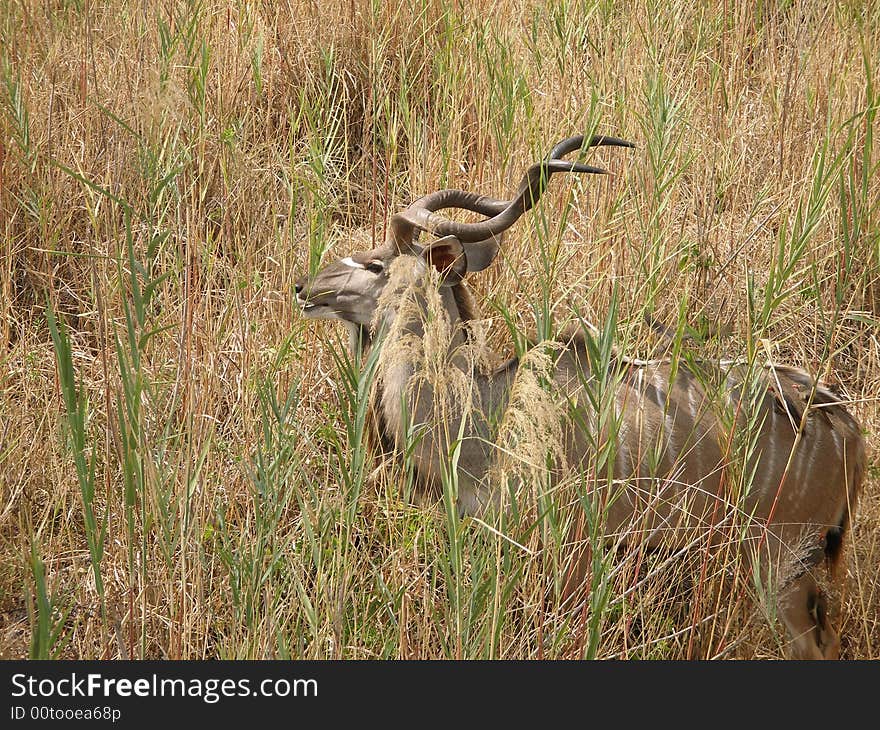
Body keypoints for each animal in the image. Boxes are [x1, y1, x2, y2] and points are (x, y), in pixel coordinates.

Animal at [296, 134, 868, 656]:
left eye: (376, 264)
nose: (305, 287)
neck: (484, 417)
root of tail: (845, 425)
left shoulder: (570, 550)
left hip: (778, 562)